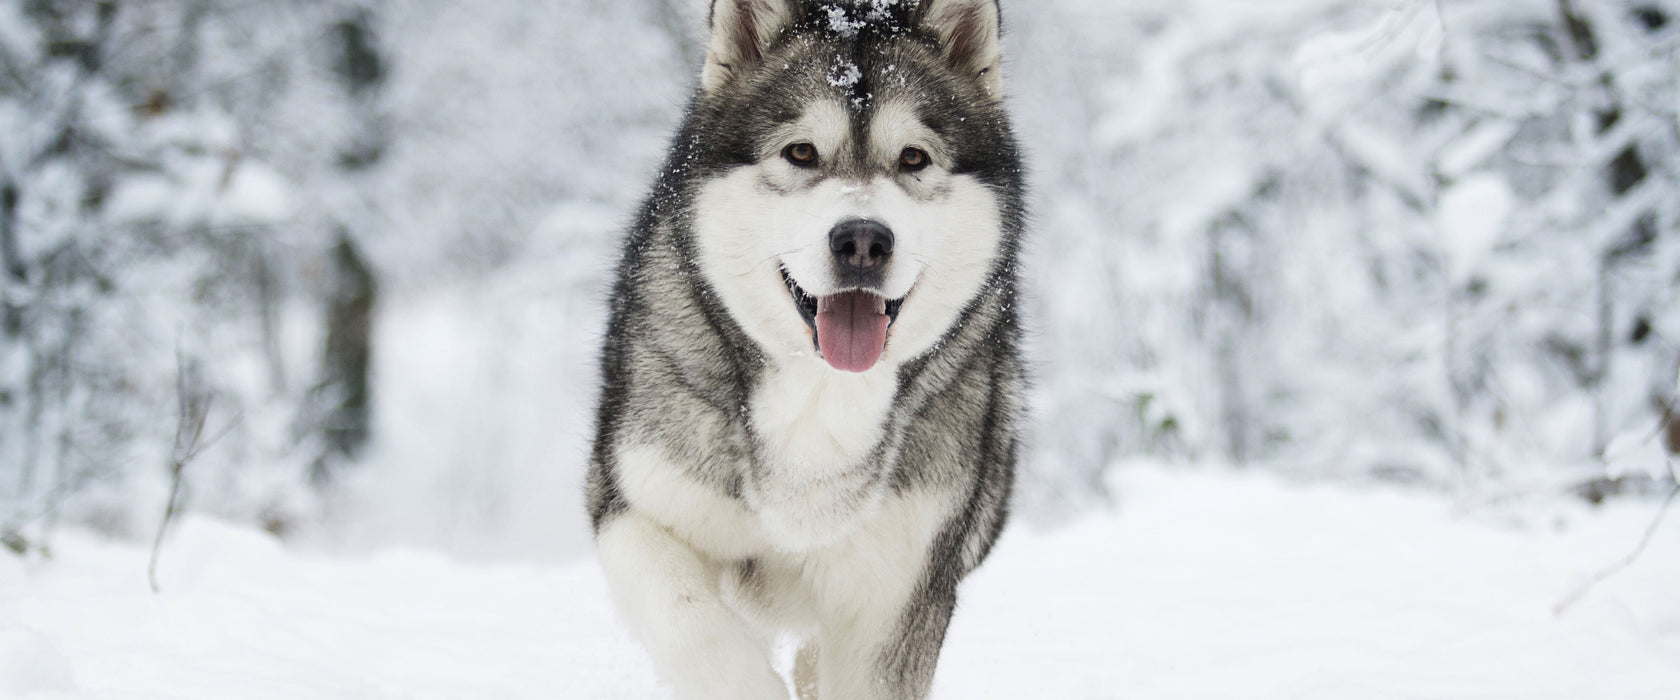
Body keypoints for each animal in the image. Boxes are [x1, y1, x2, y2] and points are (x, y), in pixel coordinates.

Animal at [591, 2, 1028, 694]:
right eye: (801, 151)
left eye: (913, 157)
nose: (863, 241)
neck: (821, 398)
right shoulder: (634, 504)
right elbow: (695, 629)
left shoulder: (900, 590)